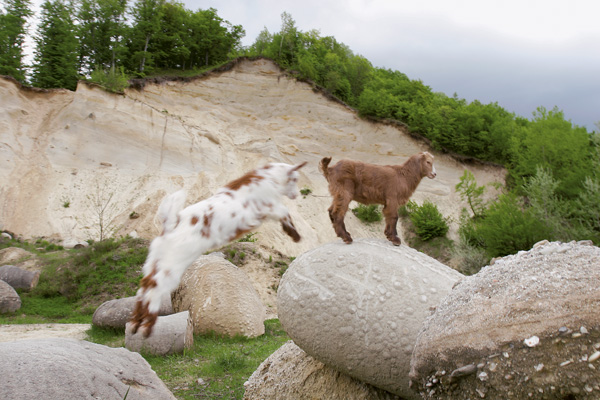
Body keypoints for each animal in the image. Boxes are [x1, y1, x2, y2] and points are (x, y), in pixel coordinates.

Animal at [133, 161, 308, 336]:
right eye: (294, 179)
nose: (296, 195)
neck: (264, 180)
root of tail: (173, 223)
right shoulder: (267, 208)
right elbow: (284, 211)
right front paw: (295, 235)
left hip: (155, 262)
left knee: (145, 287)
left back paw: (137, 323)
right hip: (172, 265)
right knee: (155, 288)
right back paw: (147, 326)